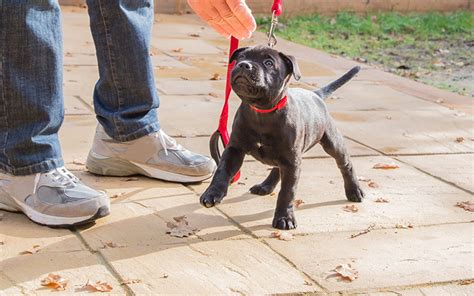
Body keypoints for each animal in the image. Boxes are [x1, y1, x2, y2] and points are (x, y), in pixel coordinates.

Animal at [199, 45, 362, 230]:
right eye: (241, 57)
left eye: (268, 63)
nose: (244, 65)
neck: (262, 111)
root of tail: (316, 95)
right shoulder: (235, 149)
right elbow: (222, 171)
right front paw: (212, 193)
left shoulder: (292, 162)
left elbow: (287, 191)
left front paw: (285, 217)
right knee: (277, 168)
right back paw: (265, 186)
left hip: (331, 142)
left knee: (345, 164)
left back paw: (354, 191)